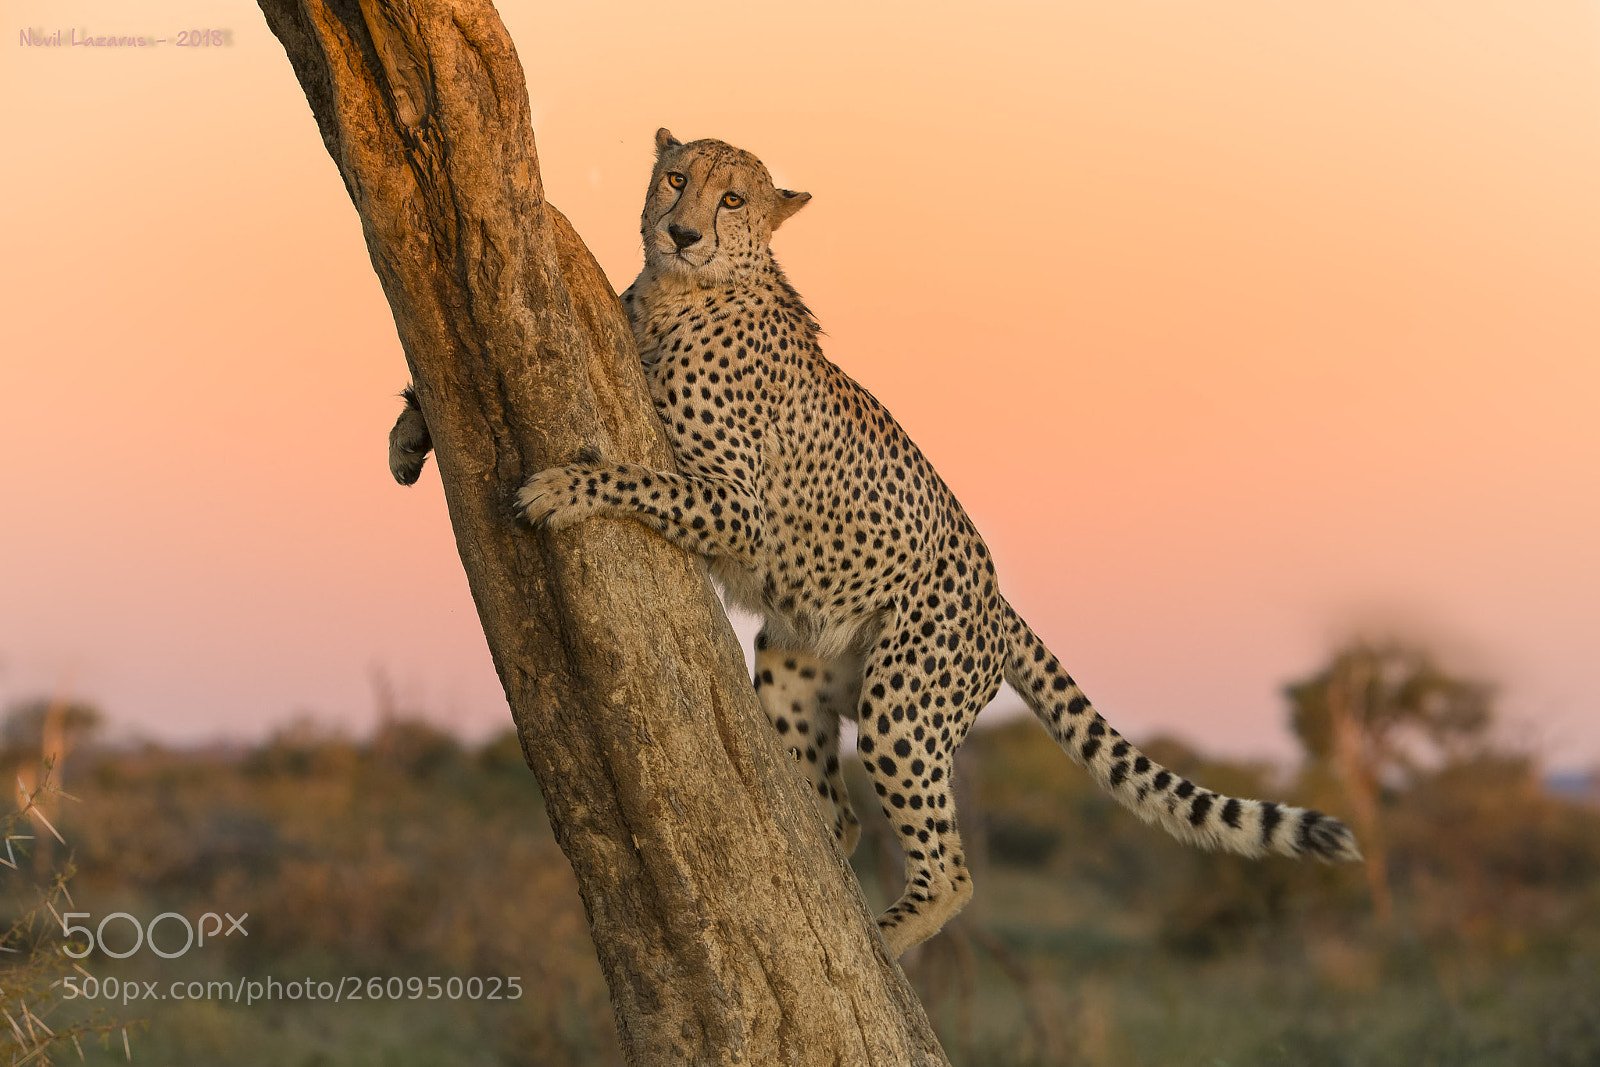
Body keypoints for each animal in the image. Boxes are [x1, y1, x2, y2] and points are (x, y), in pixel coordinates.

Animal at [388, 128, 1361, 957]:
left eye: (733, 198)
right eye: (676, 178)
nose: (683, 230)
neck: (680, 292)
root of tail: (999, 599)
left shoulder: (736, 502)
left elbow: (637, 477)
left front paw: (559, 487)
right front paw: (408, 433)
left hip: (903, 700)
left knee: (950, 866)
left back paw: (885, 938)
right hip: (794, 671)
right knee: (838, 819)